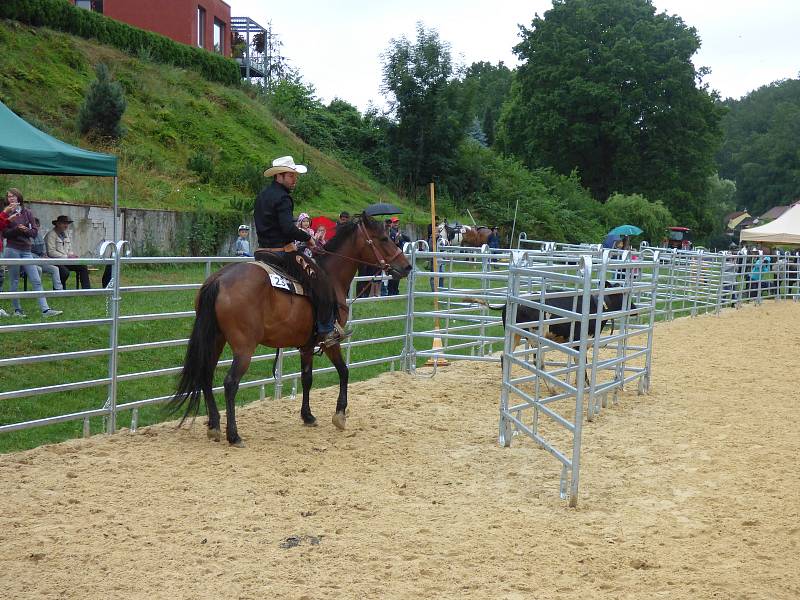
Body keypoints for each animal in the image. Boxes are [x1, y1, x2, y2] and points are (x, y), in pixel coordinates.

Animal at [166, 214, 410, 446]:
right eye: (384, 238)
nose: (406, 266)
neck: (331, 276)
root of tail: (219, 280)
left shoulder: (307, 345)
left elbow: (307, 378)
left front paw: (307, 416)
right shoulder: (331, 341)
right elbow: (344, 371)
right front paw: (340, 415)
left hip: (216, 339)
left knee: (206, 376)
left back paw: (215, 426)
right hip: (244, 347)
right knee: (230, 383)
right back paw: (233, 435)